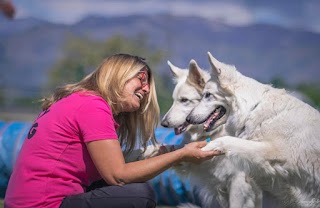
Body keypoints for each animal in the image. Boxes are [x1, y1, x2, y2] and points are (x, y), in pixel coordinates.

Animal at [160, 59, 262, 207]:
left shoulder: (238, 182)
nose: (163, 123)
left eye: (184, 100)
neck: (216, 131)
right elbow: (174, 153)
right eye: (174, 100)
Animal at [188, 52, 320, 208]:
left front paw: (203, 149)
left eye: (207, 95)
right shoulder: (273, 193)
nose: (188, 119)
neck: (253, 109)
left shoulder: (271, 152)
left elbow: (226, 140)